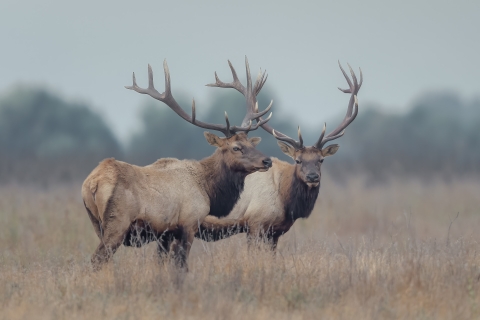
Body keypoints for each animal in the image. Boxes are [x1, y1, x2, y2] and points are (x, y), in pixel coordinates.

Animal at [82, 58, 274, 270]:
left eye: (252, 144)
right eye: (236, 147)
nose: (267, 160)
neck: (208, 189)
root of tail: (92, 183)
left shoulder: (165, 234)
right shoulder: (189, 223)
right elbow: (181, 266)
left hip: (96, 223)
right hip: (118, 223)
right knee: (96, 259)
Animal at [197, 60, 362, 250]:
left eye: (321, 160)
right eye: (298, 160)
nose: (313, 177)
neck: (286, 203)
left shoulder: (275, 232)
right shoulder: (254, 223)